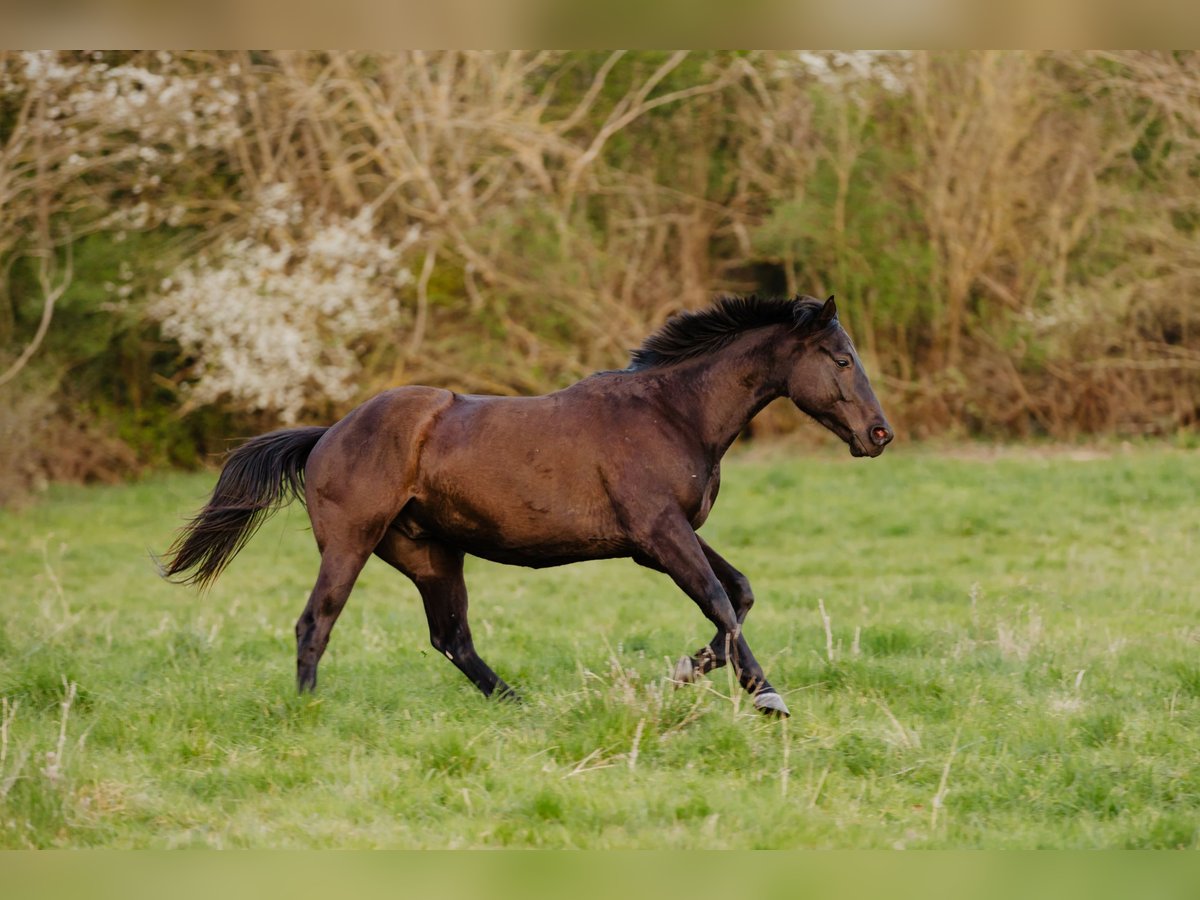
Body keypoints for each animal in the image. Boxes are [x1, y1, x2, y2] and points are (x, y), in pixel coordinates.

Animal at [159, 296, 892, 720]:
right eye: (839, 357)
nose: (880, 434)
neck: (670, 412)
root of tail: (326, 435)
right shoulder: (658, 534)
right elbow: (719, 599)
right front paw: (766, 695)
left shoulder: (664, 537)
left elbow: (738, 594)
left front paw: (687, 670)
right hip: (352, 543)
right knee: (316, 623)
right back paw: (311, 713)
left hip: (430, 554)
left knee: (451, 638)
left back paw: (518, 705)